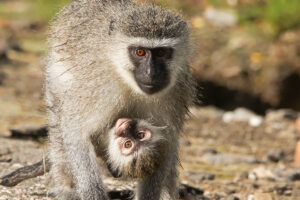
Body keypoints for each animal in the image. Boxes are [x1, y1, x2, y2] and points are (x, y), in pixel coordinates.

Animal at [45, 0, 196, 199]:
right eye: (140, 52)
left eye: (161, 53)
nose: (151, 73)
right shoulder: (97, 88)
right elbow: (76, 133)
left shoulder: (176, 91)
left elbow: (167, 142)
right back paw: (65, 187)